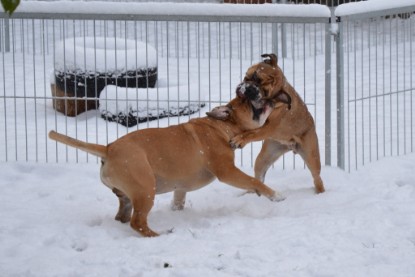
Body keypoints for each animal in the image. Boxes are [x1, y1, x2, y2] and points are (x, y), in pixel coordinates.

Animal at [49, 89, 292, 236]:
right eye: (246, 100)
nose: (260, 93)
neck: (223, 127)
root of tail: (108, 149)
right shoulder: (227, 171)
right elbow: (254, 180)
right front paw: (275, 195)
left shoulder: (181, 187)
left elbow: (178, 198)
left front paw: (177, 209)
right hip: (145, 189)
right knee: (138, 222)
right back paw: (160, 235)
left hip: (128, 195)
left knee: (123, 216)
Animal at [231, 53, 324, 194]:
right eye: (254, 76)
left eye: (266, 94)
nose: (252, 90)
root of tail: (291, 146)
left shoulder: (266, 128)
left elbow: (251, 133)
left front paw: (239, 139)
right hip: (266, 155)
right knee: (259, 174)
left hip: (311, 156)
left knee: (317, 177)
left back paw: (320, 192)